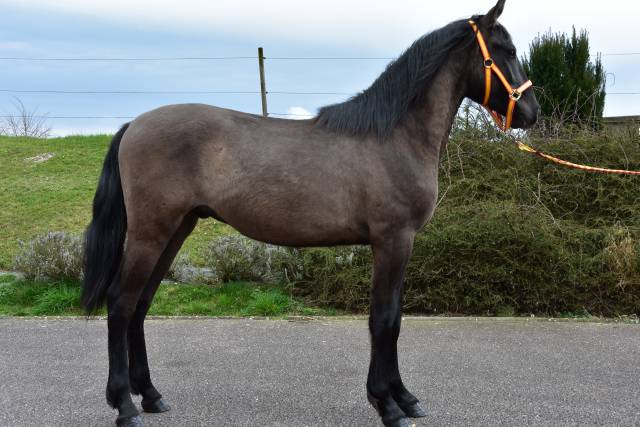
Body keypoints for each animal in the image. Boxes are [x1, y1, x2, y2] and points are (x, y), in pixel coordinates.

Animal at [81, 1, 539, 425]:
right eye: (507, 50)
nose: (532, 112)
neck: (395, 135)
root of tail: (134, 125)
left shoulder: (398, 244)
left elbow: (393, 319)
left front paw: (404, 397)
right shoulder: (393, 240)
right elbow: (384, 320)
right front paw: (387, 404)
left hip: (176, 229)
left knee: (141, 304)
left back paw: (151, 395)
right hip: (151, 233)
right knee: (121, 303)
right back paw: (124, 405)